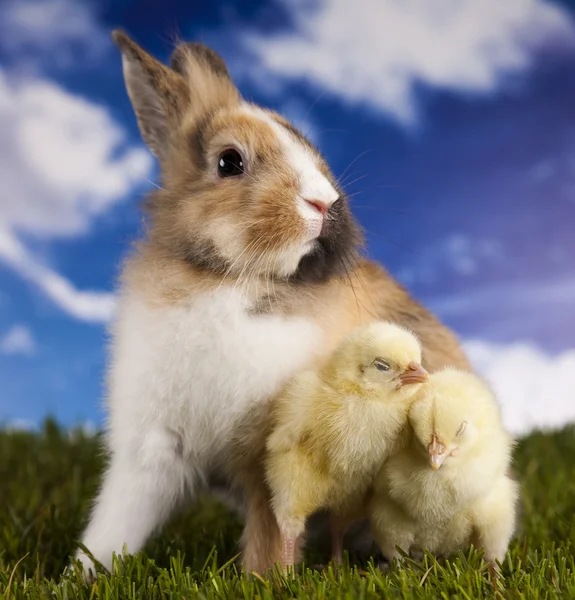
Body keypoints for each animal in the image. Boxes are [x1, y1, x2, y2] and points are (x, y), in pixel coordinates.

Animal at [76, 29, 472, 576]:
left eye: (309, 146)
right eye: (229, 162)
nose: (323, 202)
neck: (229, 281)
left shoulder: (271, 461)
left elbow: (271, 535)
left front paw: (265, 581)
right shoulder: (151, 449)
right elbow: (113, 527)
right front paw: (79, 577)